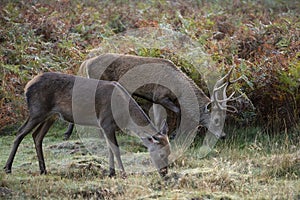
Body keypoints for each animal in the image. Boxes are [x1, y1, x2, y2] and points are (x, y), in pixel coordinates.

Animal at [3, 71, 170, 177]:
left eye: (169, 153)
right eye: (162, 154)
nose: (165, 173)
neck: (124, 117)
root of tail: (27, 86)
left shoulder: (105, 126)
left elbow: (109, 149)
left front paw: (111, 173)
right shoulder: (106, 122)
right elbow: (115, 149)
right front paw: (123, 173)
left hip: (51, 116)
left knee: (36, 136)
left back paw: (43, 170)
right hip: (37, 110)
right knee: (20, 133)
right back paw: (7, 168)